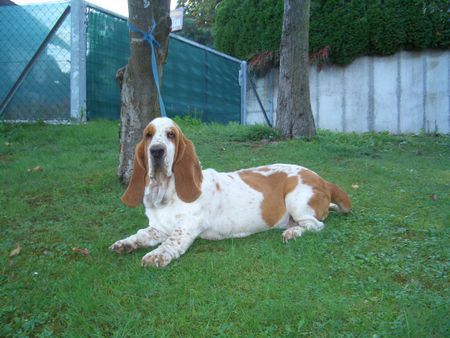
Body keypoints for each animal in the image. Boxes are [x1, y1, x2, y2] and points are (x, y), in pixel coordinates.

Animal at [109, 117, 352, 268]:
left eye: (171, 135)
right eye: (148, 135)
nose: (156, 151)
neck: (165, 192)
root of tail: (324, 181)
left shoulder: (186, 227)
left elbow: (171, 243)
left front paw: (155, 256)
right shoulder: (158, 228)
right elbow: (141, 234)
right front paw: (125, 244)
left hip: (297, 199)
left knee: (315, 225)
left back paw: (292, 233)